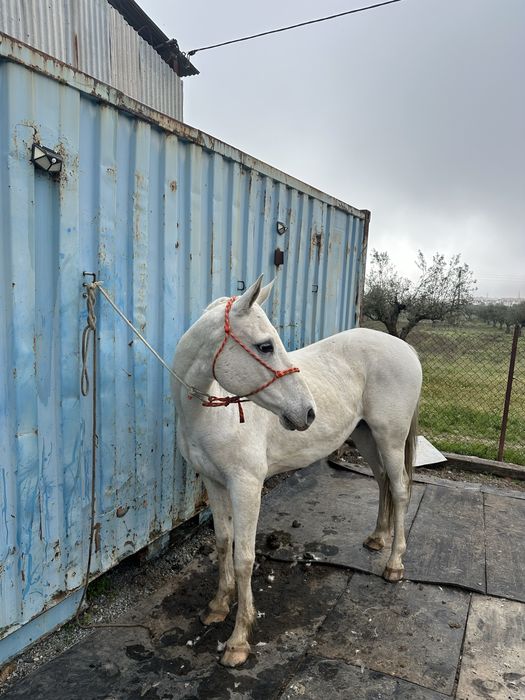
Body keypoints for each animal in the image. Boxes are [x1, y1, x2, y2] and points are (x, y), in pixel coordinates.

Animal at [172, 275, 422, 667]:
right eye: (265, 346)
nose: (307, 412)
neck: (210, 415)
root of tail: (406, 349)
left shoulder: (246, 486)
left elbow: (244, 557)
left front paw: (238, 640)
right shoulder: (214, 482)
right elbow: (223, 542)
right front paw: (217, 606)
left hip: (390, 438)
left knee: (400, 489)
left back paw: (394, 563)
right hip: (365, 435)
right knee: (382, 482)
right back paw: (377, 538)